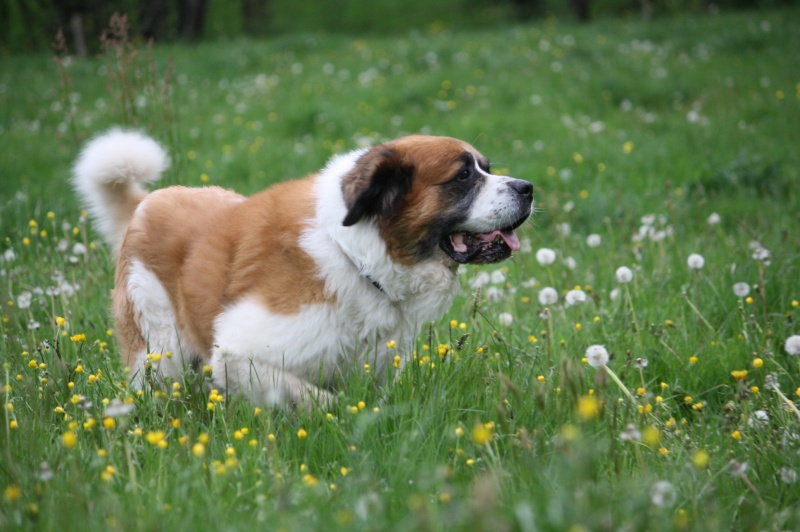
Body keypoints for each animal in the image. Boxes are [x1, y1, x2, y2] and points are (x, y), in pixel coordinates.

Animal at [73, 129, 532, 408]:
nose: (528, 188)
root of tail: (149, 202)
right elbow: (320, 400)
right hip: (159, 351)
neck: (355, 254)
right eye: (463, 176)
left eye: (486, 169)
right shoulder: (239, 354)